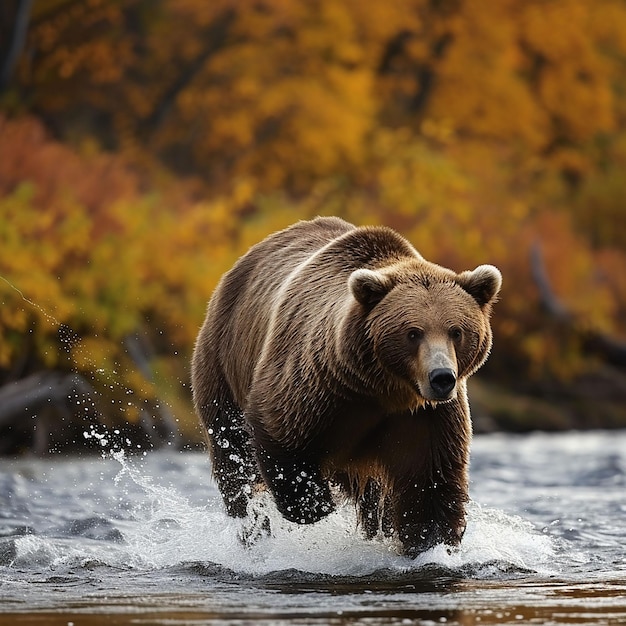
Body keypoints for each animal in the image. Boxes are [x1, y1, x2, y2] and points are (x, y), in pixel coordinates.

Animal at [193, 216, 500, 556]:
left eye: (456, 331)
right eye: (413, 332)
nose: (441, 377)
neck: (382, 389)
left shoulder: (425, 416)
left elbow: (429, 483)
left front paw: (431, 541)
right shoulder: (316, 385)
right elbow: (277, 429)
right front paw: (315, 503)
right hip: (222, 363)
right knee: (234, 459)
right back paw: (253, 530)